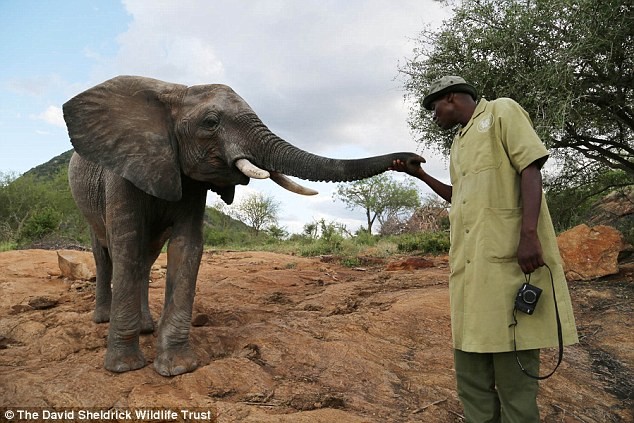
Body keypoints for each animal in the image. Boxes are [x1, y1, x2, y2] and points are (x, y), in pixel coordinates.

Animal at [63, 74, 424, 376]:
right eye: (210, 123)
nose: (413, 160)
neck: (175, 92)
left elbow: (186, 246)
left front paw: (178, 369)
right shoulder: (121, 170)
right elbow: (126, 242)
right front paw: (124, 369)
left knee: (146, 258)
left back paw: (146, 328)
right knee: (107, 253)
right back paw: (104, 320)